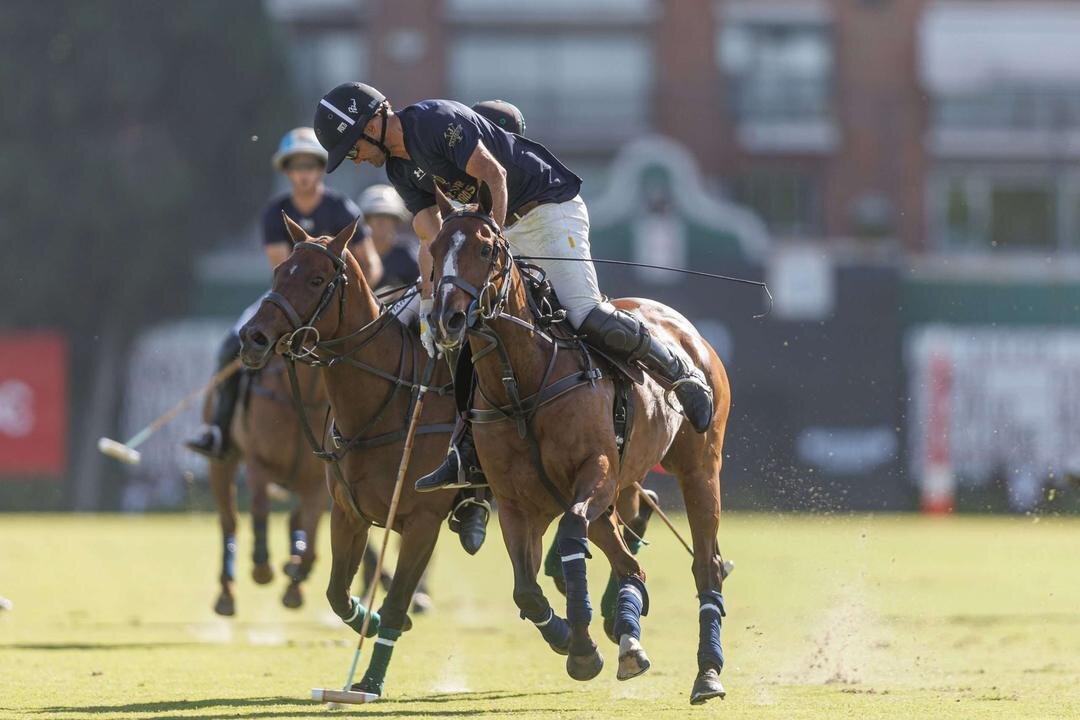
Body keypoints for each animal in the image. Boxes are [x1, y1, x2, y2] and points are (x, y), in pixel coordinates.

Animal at [204, 354, 326, 613]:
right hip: (221, 464)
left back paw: (292, 568)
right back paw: (226, 594)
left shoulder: (320, 479)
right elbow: (260, 507)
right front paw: (261, 567)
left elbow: (312, 545)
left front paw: (295, 582)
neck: (307, 396)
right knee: (229, 520)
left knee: (296, 520)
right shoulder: (258, 461)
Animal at [234, 216, 457, 699]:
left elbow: (395, 603)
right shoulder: (348, 511)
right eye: (277, 272)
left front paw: (370, 681)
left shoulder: (423, 520)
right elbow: (337, 592)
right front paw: (366, 621)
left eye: (318, 279)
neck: (387, 402)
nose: (252, 338)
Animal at [429, 194, 734, 708]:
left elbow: (570, 538)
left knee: (705, 563)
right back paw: (628, 639)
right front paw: (571, 640)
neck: (522, 385)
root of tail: (688, 329)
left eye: (487, 248)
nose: (446, 319)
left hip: (698, 468)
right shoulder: (517, 503)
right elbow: (526, 590)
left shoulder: (596, 472)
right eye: (433, 249)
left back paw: (707, 673)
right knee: (632, 565)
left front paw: (583, 645)